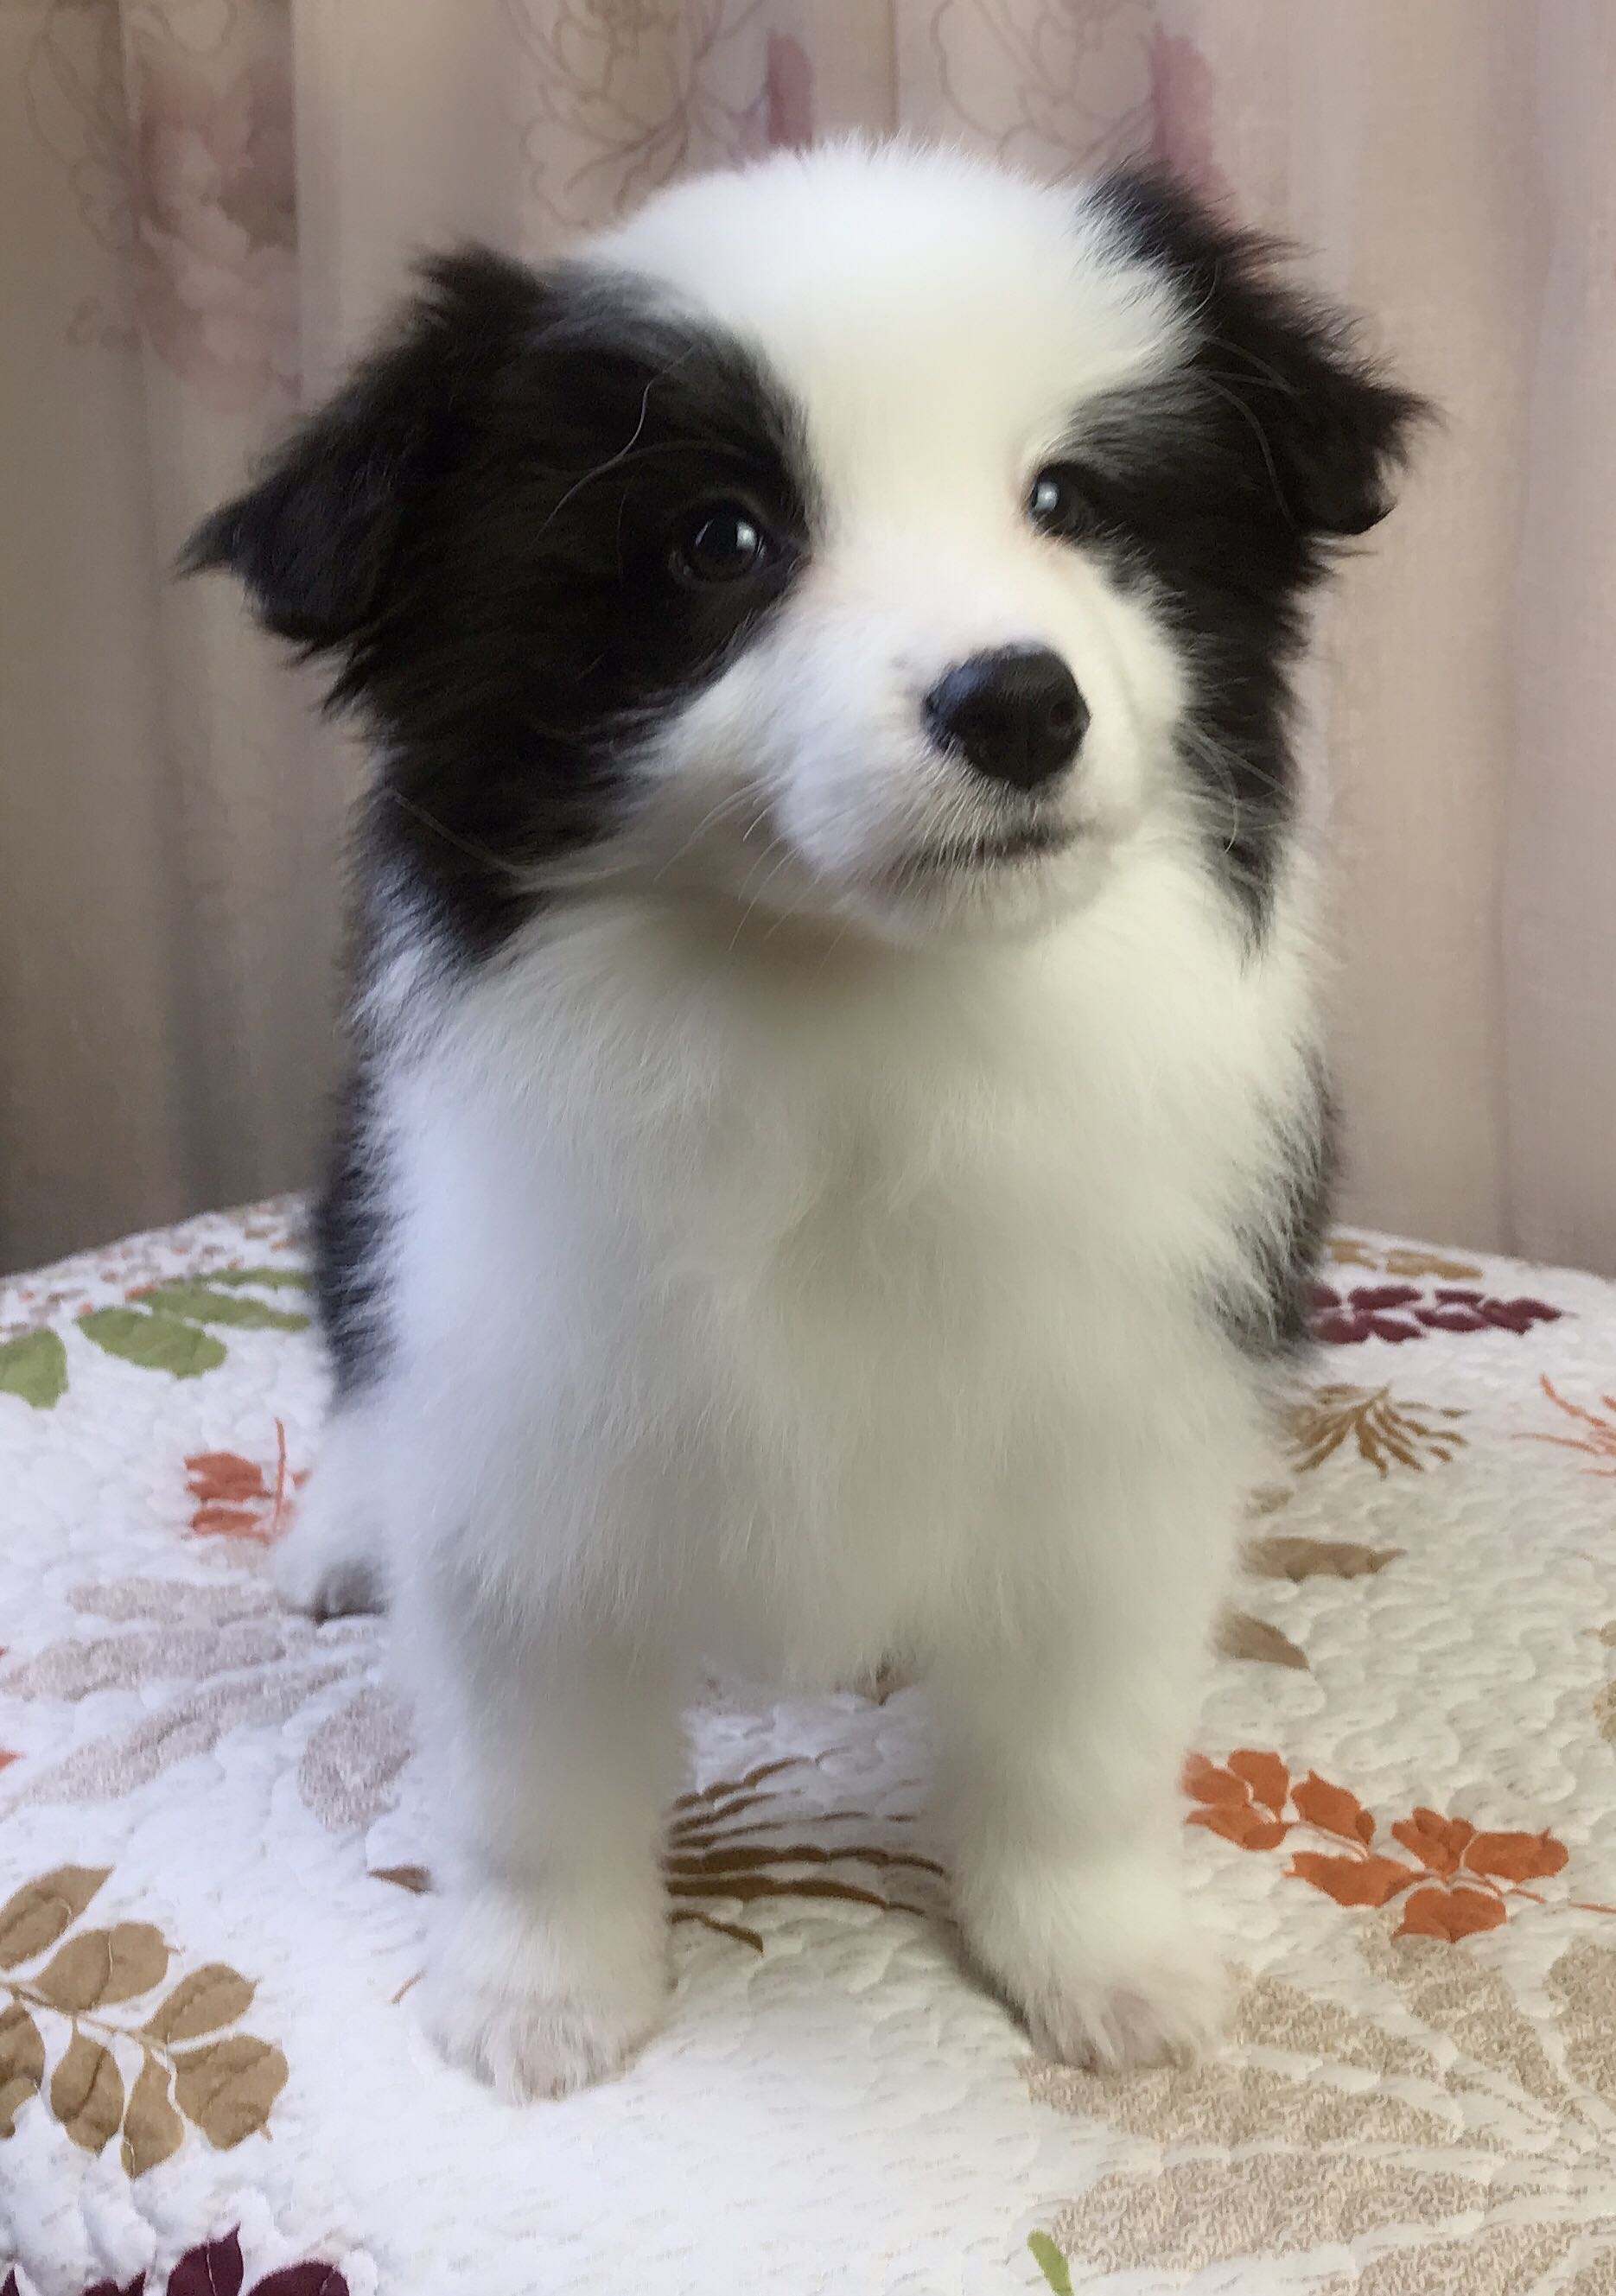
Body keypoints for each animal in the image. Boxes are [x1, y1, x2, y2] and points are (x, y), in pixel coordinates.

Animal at [188, 141, 1422, 2100]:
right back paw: (336, 1538)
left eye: (1071, 498)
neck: (861, 1012)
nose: (1019, 700)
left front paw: (1100, 1961)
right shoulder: (523, 1411)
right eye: (720, 542)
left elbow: (1079, 1744)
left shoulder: (1124, 1420)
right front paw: (542, 1994)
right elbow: (532, 1771)